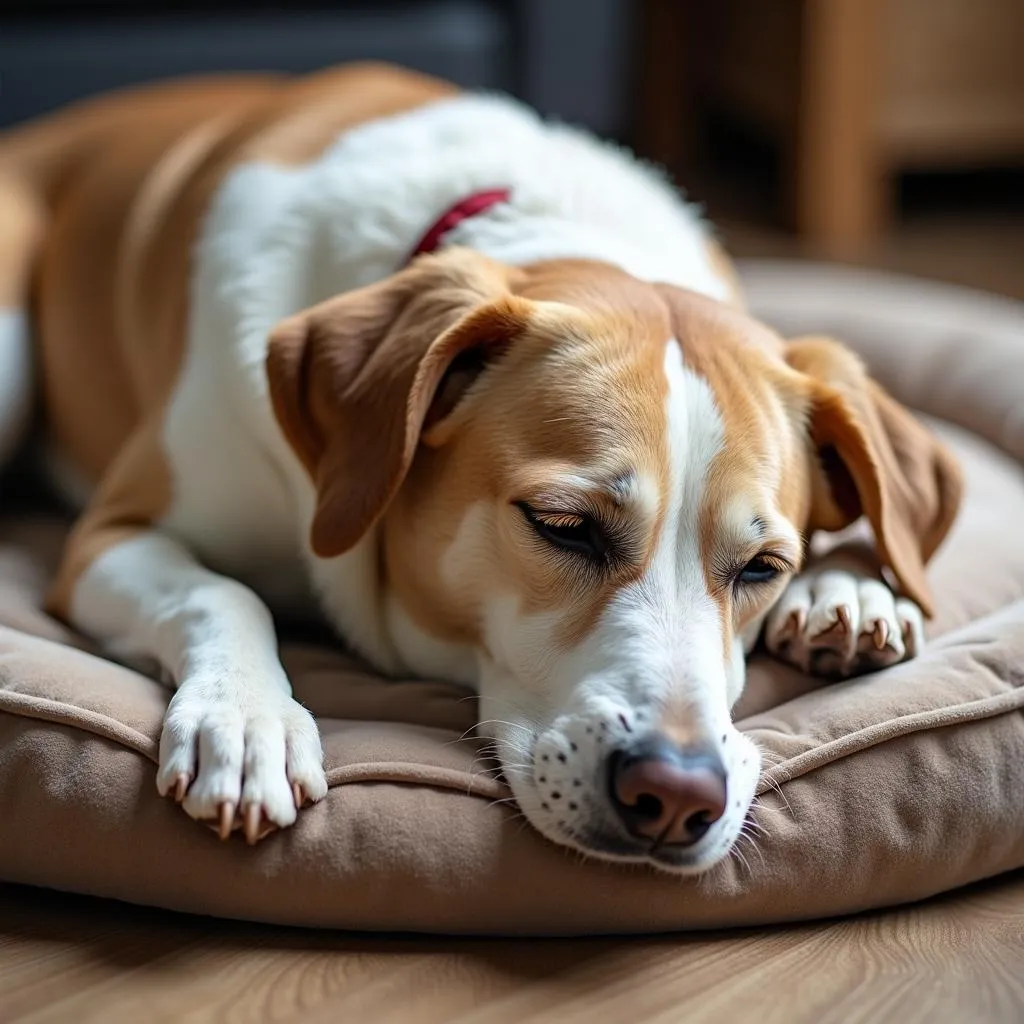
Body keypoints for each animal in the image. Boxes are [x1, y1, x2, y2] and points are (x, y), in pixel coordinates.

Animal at [0, 64, 958, 872]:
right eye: (562, 526)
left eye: (763, 566)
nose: (678, 796)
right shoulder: (111, 533)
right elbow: (219, 590)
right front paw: (246, 719)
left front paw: (852, 590)